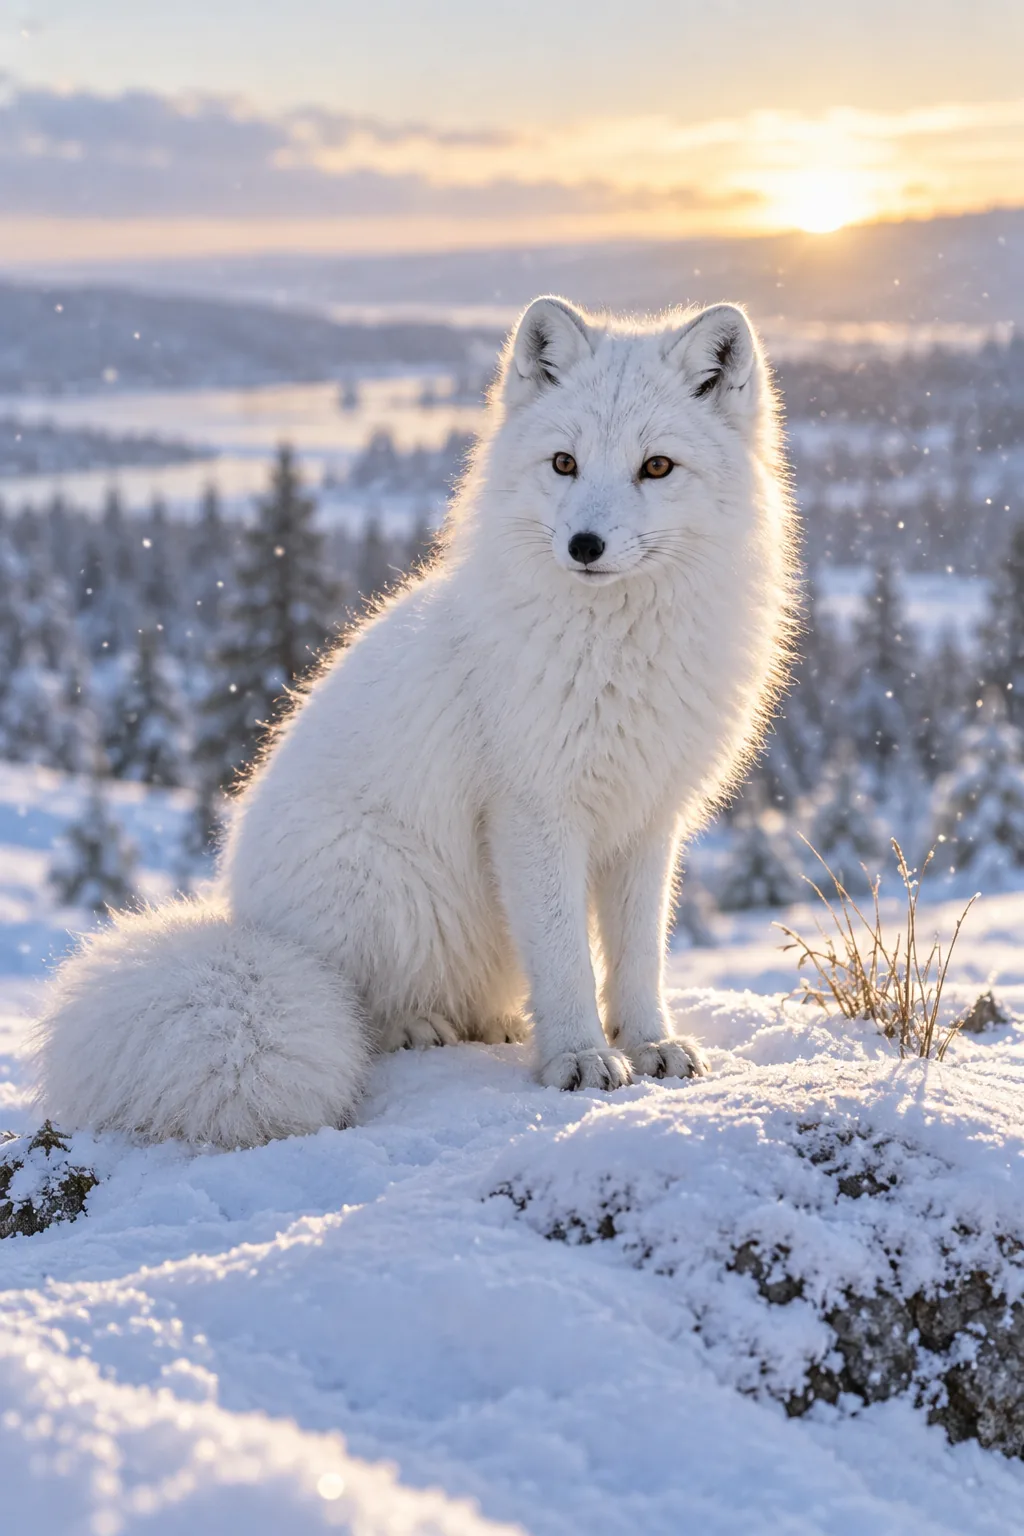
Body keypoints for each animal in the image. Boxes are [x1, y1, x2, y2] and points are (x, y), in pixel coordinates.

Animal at [35, 296, 797, 1148]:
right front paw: (578, 1057)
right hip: (389, 888)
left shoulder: (647, 819)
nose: (584, 545)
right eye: (564, 463)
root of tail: (249, 924)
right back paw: (417, 1027)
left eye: (657, 467)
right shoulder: (533, 813)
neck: (618, 651)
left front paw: (650, 1044)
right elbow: (566, 956)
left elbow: (638, 957)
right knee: (365, 1009)